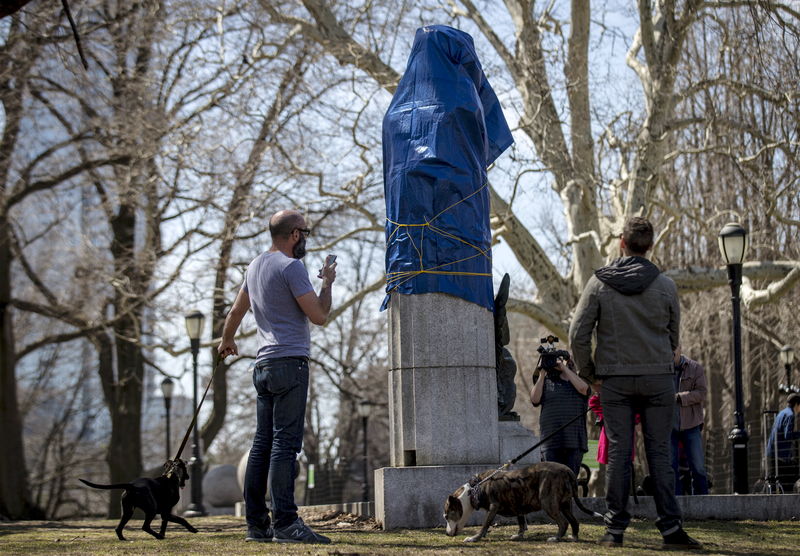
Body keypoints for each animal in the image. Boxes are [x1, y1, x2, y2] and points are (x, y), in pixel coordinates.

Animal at [444, 460, 600, 544]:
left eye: (447, 516)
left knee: (563, 522)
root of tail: (568, 470)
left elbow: (485, 525)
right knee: (574, 521)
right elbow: (520, 522)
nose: (446, 534)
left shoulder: (493, 507)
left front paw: (474, 538)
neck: (474, 488)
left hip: (548, 502)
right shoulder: (518, 504)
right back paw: (573, 537)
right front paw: (519, 535)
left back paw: (556, 538)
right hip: (565, 504)